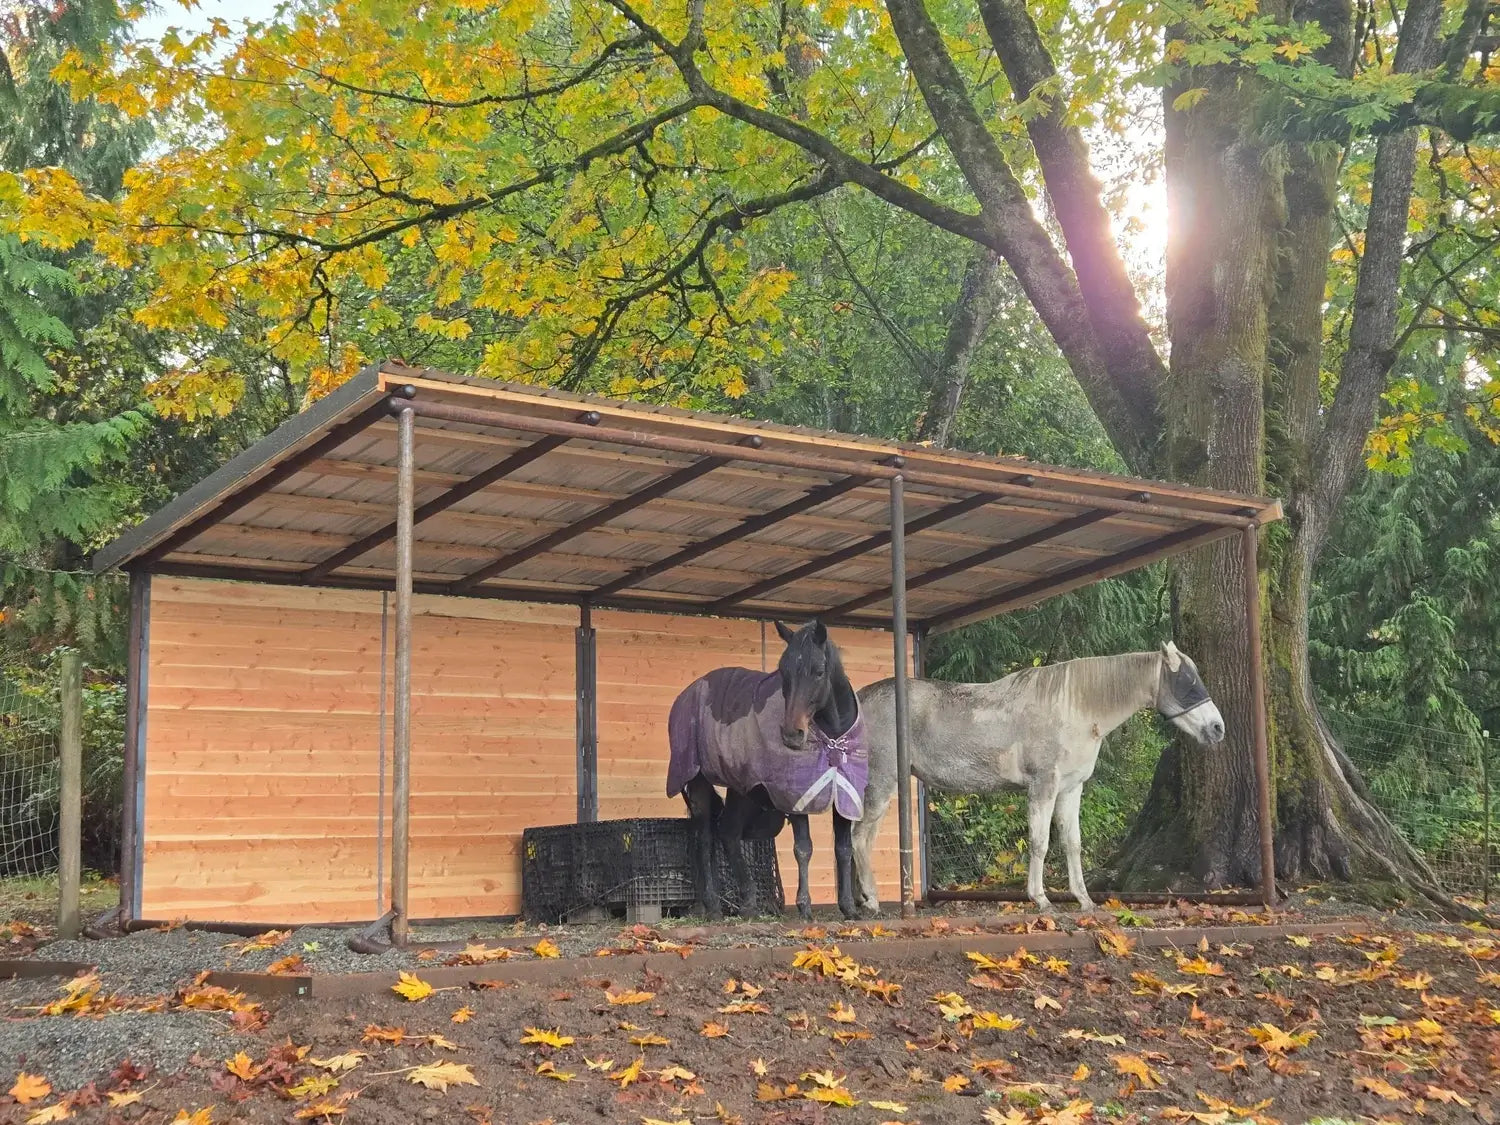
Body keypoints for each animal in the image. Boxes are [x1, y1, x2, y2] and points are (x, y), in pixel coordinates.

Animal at [666, 620, 867, 921]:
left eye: (819, 671)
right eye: (783, 671)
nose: (792, 734)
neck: (832, 740)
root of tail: (685, 695)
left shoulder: (845, 796)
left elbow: (843, 849)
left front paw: (848, 907)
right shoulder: (795, 797)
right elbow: (803, 849)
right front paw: (804, 906)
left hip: (741, 788)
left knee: (729, 833)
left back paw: (748, 903)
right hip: (699, 782)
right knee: (705, 839)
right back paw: (713, 906)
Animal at [849, 642, 1225, 915]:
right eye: (1188, 682)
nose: (1217, 728)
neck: (1075, 708)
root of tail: (861, 699)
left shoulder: (1071, 790)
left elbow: (1072, 843)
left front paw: (1084, 900)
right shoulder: (1043, 786)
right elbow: (1040, 842)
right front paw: (1041, 900)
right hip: (882, 783)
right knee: (861, 837)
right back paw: (872, 902)